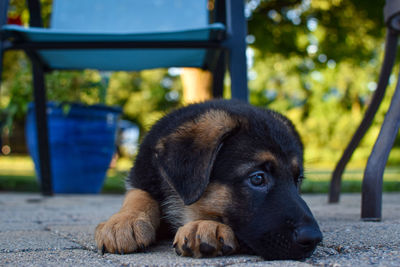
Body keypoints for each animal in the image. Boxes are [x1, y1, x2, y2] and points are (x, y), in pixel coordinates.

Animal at [95, 99, 324, 260]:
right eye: (258, 178)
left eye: (297, 180)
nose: (314, 239)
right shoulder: (143, 173)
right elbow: (138, 194)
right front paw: (124, 221)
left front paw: (205, 225)